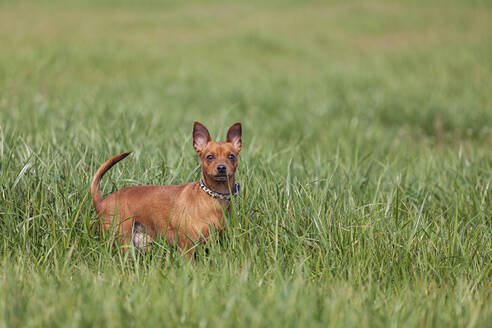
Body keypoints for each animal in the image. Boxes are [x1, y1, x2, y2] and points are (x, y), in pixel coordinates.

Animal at [91, 121, 242, 260]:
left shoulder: (213, 244)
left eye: (231, 156)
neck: (214, 197)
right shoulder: (187, 248)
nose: (221, 168)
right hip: (121, 239)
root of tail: (101, 202)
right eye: (210, 157)